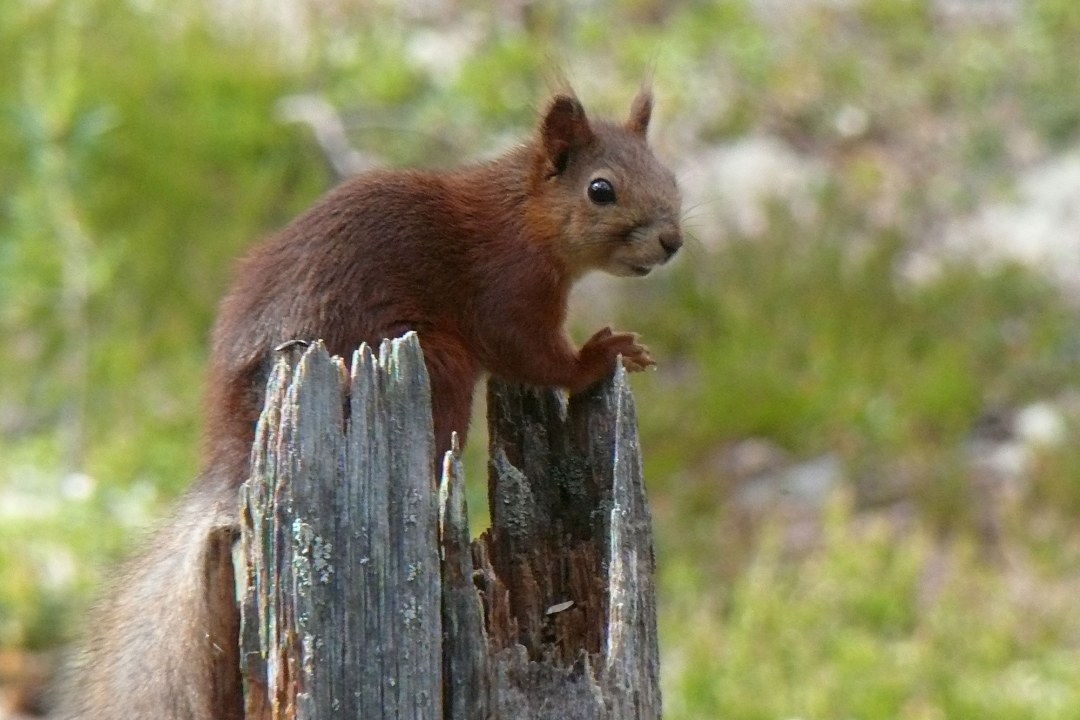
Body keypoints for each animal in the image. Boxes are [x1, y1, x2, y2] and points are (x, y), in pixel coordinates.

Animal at [54, 88, 682, 720]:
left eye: (669, 176)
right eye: (600, 189)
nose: (672, 241)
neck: (523, 215)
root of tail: (235, 458)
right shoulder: (506, 290)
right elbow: (530, 355)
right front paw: (601, 356)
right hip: (436, 361)